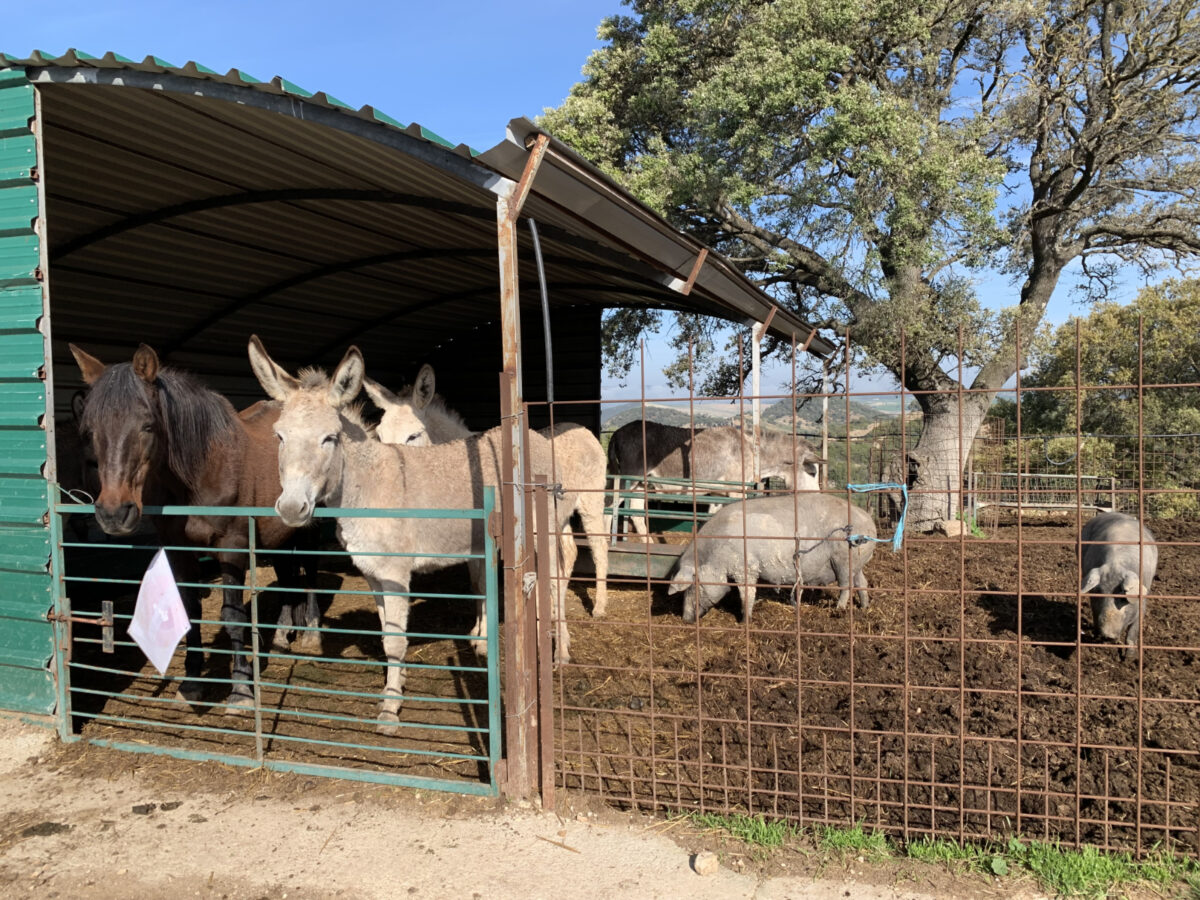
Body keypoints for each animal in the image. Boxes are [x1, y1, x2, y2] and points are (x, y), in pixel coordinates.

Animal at [71, 345, 319, 710]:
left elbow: (233, 617)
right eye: (90, 431)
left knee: (311, 573)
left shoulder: (232, 549)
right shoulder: (180, 550)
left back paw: (312, 634)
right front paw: (191, 684)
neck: (201, 472)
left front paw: (241, 690)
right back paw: (282, 638)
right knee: (288, 577)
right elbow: (190, 611)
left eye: (147, 426)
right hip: (280, 534)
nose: (114, 514)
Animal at [672, 494, 878, 628]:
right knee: (862, 581)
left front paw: (744, 623)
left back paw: (838, 609)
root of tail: (870, 523)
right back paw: (864, 607)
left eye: (692, 585)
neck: (714, 551)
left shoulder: (745, 567)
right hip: (857, 561)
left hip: (843, 558)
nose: (684, 619)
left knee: (846, 585)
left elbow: (747, 594)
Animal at [1080, 513, 1152, 662]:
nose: (1108, 635)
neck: (1116, 564)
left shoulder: (1143, 599)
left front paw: (1129, 658)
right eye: (1099, 592)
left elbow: (1134, 630)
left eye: (1123, 597)